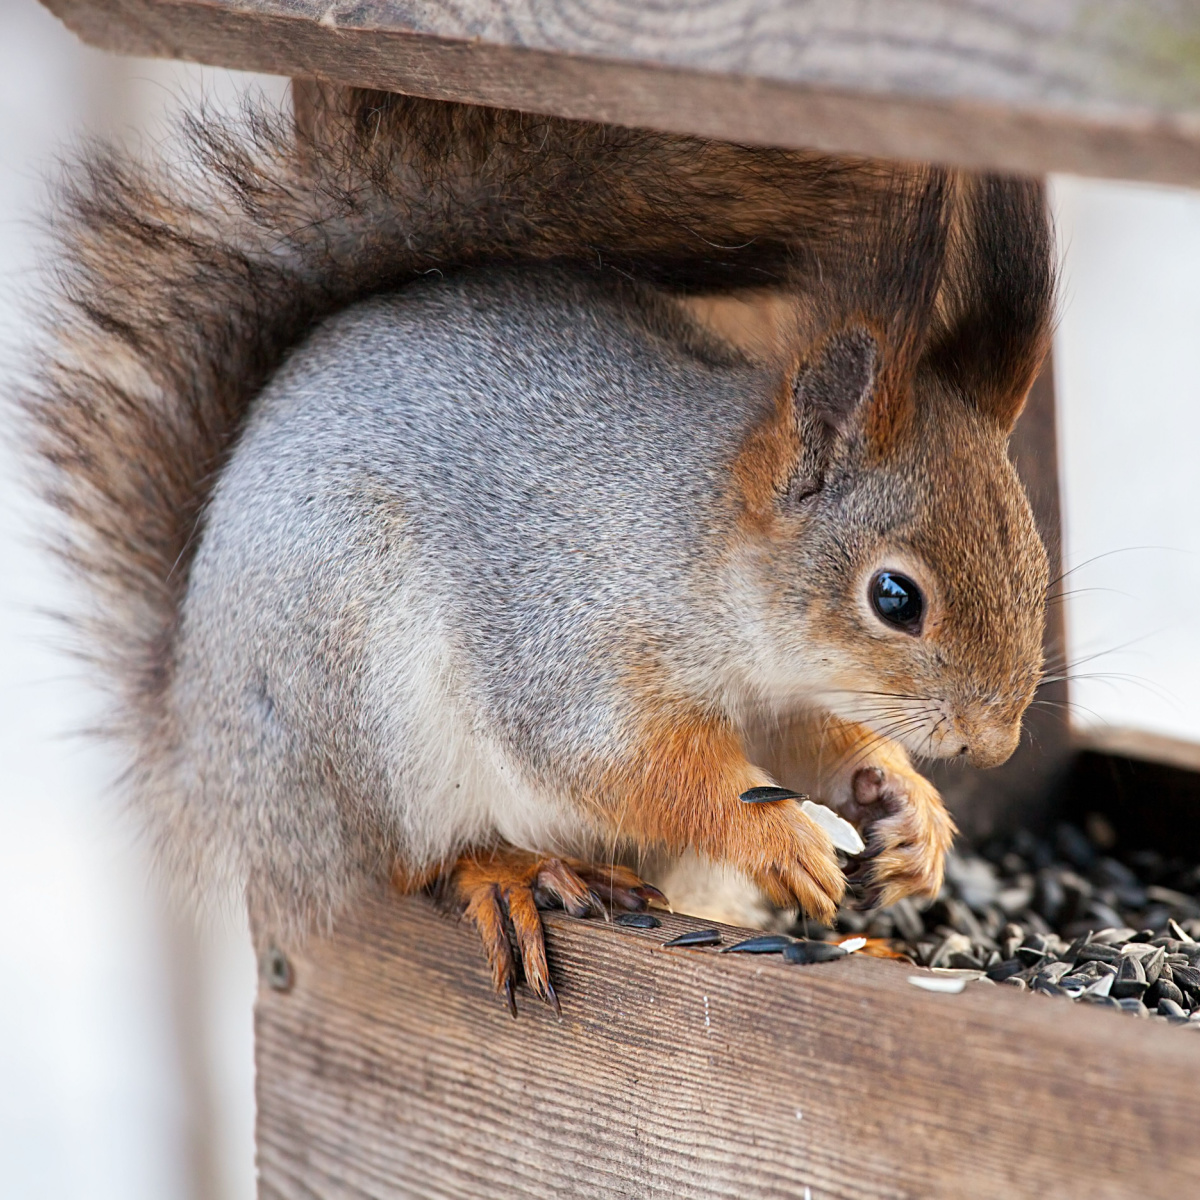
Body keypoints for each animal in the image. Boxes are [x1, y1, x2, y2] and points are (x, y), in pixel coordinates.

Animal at [23, 82, 1054, 1013]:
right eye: (894, 598)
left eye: (1039, 568)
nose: (995, 744)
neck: (700, 549)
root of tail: (205, 761)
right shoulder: (568, 629)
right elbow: (619, 762)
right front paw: (777, 837)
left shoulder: (789, 697)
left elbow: (819, 748)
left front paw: (906, 808)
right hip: (356, 693)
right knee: (410, 862)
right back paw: (514, 875)